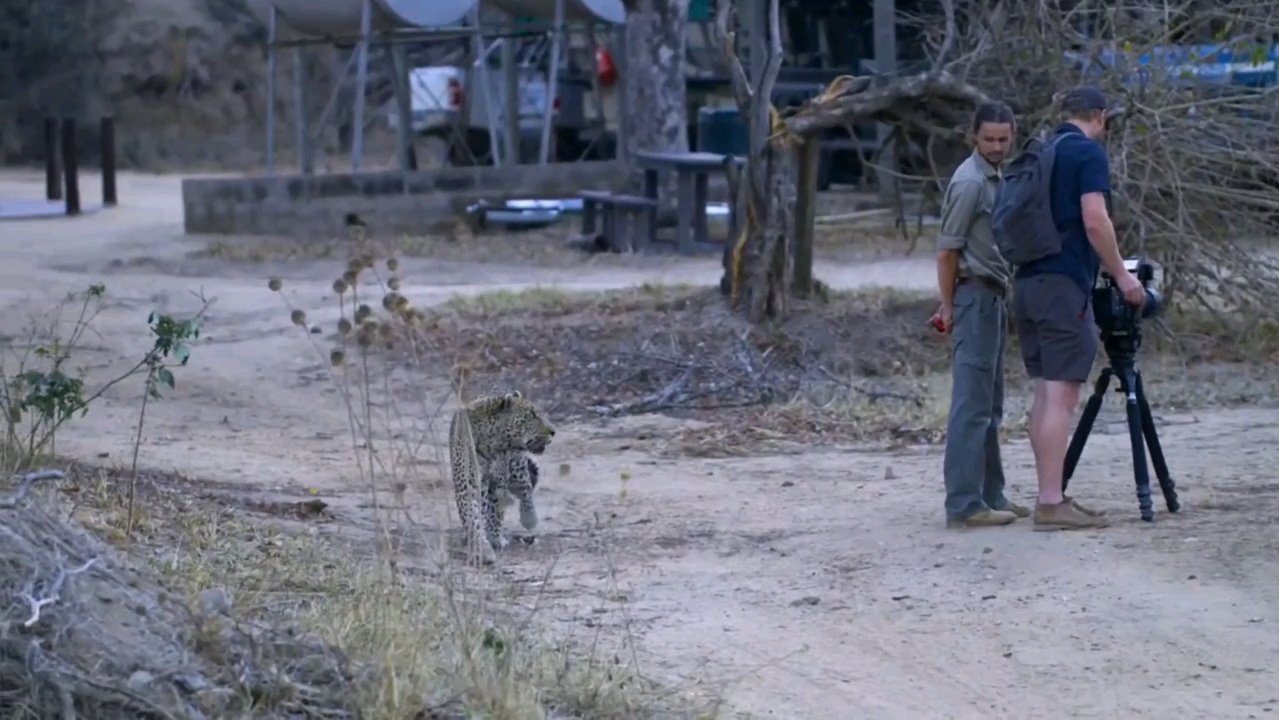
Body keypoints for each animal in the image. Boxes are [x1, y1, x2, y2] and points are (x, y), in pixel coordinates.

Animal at [447, 391, 552, 565]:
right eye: (532, 415)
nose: (553, 431)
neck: (491, 443)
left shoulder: (498, 483)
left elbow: (494, 512)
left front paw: (495, 538)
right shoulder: (468, 485)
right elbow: (473, 518)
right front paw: (483, 548)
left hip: (517, 468)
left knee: (525, 490)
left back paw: (529, 518)